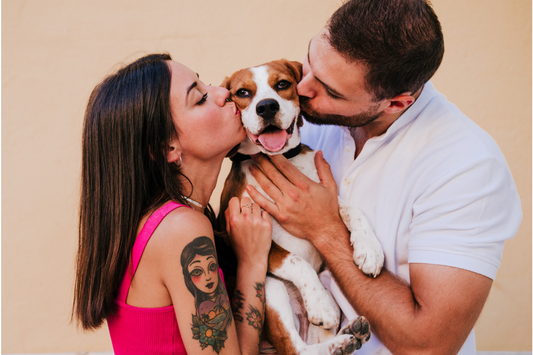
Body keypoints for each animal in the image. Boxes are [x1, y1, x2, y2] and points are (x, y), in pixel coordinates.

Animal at [218, 60, 384, 355]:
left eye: (282, 84)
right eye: (243, 92)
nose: (267, 106)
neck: (280, 159)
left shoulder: (326, 199)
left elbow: (354, 212)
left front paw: (369, 250)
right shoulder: (243, 230)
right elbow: (293, 259)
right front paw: (321, 303)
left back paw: (347, 336)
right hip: (271, 287)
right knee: (295, 349)